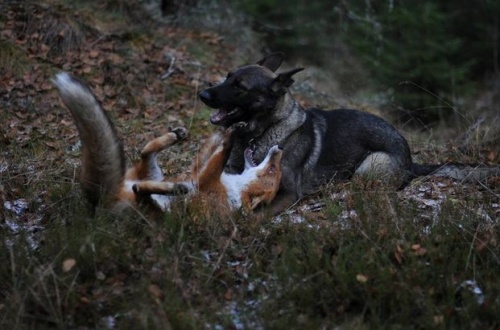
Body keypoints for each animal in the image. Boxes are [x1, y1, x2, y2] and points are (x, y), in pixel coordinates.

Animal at [53, 71, 286, 214]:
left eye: (273, 171)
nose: (279, 149)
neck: (236, 188)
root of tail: (99, 204)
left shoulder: (207, 180)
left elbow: (223, 152)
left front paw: (231, 133)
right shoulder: (198, 170)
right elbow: (214, 146)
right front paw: (233, 127)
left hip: (148, 205)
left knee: (141, 188)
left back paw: (175, 188)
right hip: (152, 171)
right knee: (145, 153)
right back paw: (176, 136)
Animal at [199, 51, 500, 211]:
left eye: (240, 86)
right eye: (227, 76)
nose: (202, 94)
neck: (261, 132)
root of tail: (411, 162)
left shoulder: (287, 194)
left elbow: (255, 214)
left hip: (370, 164)